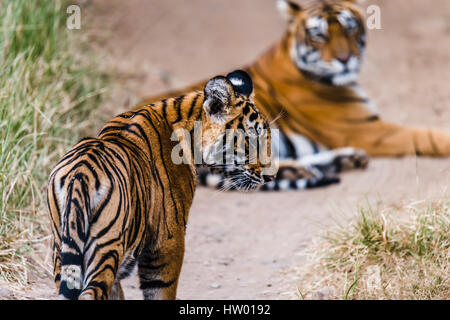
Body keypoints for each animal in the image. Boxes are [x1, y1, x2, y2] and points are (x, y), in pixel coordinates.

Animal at [45, 70, 272, 300]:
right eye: (252, 140)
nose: (270, 176)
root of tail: (80, 174)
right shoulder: (167, 242)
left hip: (62, 250)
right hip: (105, 248)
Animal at [139, 0, 450, 190]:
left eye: (350, 28)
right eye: (319, 35)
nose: (345, 59)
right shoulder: (369, 130)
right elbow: (428, 135)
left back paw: (340, 161)